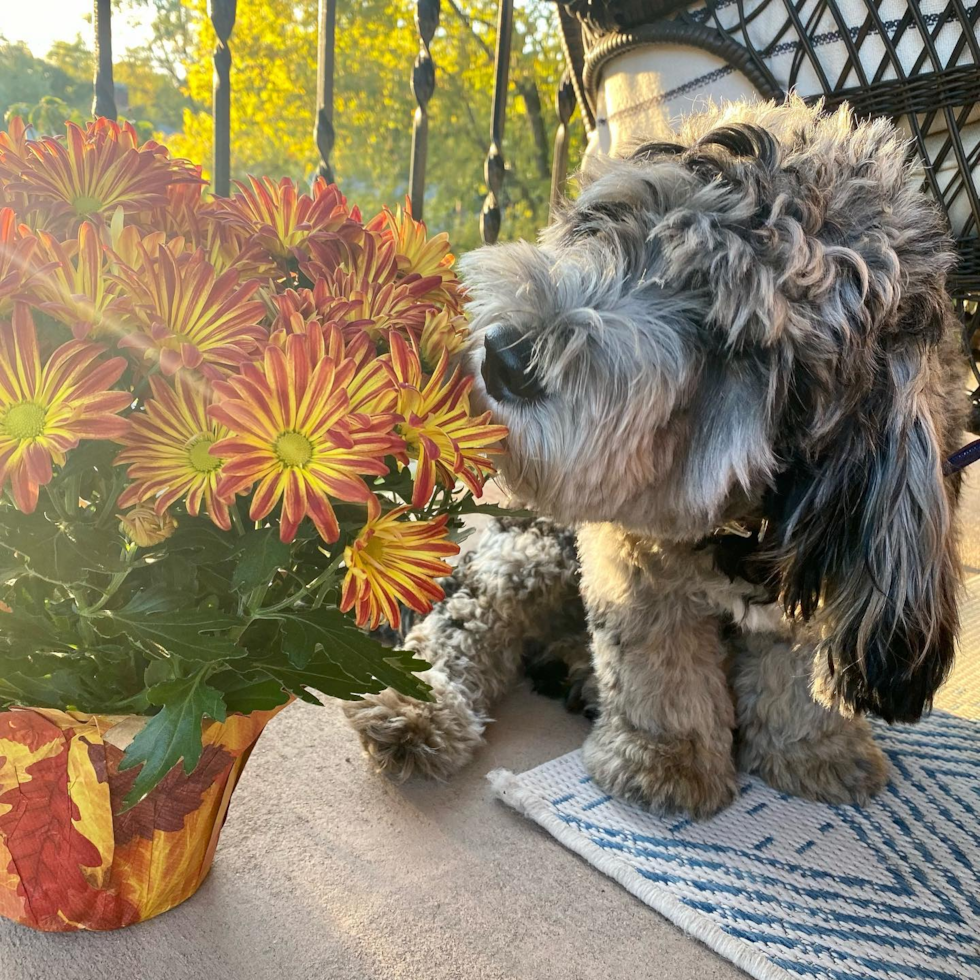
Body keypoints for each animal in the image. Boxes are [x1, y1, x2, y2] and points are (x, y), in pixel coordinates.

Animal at [346, 99, 964, 820]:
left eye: (730, 334)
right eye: (615, 225)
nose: (504, 356)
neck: (742, 524)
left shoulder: (820, 574)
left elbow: (798, 674)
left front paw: (814, 751)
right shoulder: (630, 558)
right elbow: (656, 661)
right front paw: (666, 760)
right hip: (530, 549)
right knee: (467, 621)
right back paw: (418, 710)